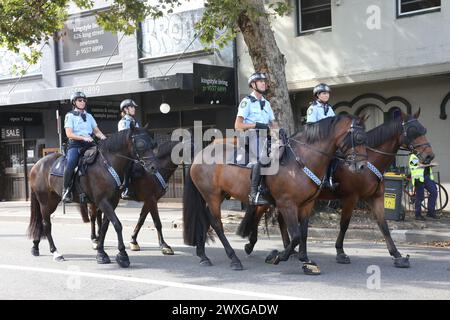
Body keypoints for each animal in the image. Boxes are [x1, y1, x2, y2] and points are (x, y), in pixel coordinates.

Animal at [27, 127, 158, 268]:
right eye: (140, 144)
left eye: (153, 144)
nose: (153, 167)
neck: (107, 166)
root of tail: (36, 165)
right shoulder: (103, 202)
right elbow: (117, 224)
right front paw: (122, 255)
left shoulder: (112, 203)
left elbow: (105, 227)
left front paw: (101, 253)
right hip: (45, 202)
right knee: (46, 225)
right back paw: (55, 252)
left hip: (53, 200)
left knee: (41, 223)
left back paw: (35, 247)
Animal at [183, 114, 370, 274]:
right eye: (358, 138)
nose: (361, 166)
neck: (301, 159)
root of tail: (200, 153)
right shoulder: (287, 204)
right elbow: (295, 236)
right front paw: (278, 256)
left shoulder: (307, 204)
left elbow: (303, 233)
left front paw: (305, 260)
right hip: (212, 196)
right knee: (216, 224)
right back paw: (234, 259)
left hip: (218, 195)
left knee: (205, 220)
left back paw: (203, 256)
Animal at [244, 109, 434, 268]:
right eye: (413, 131)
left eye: (424, 130)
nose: (429, 156)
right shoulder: (351, 197)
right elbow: (344, 224)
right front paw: (340, 252)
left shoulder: (376, 198)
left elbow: (383, 225)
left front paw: (397, 255)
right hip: (274, 199)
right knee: (259, 213)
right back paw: (254, 244)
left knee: (280, 220)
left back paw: (287, 250)